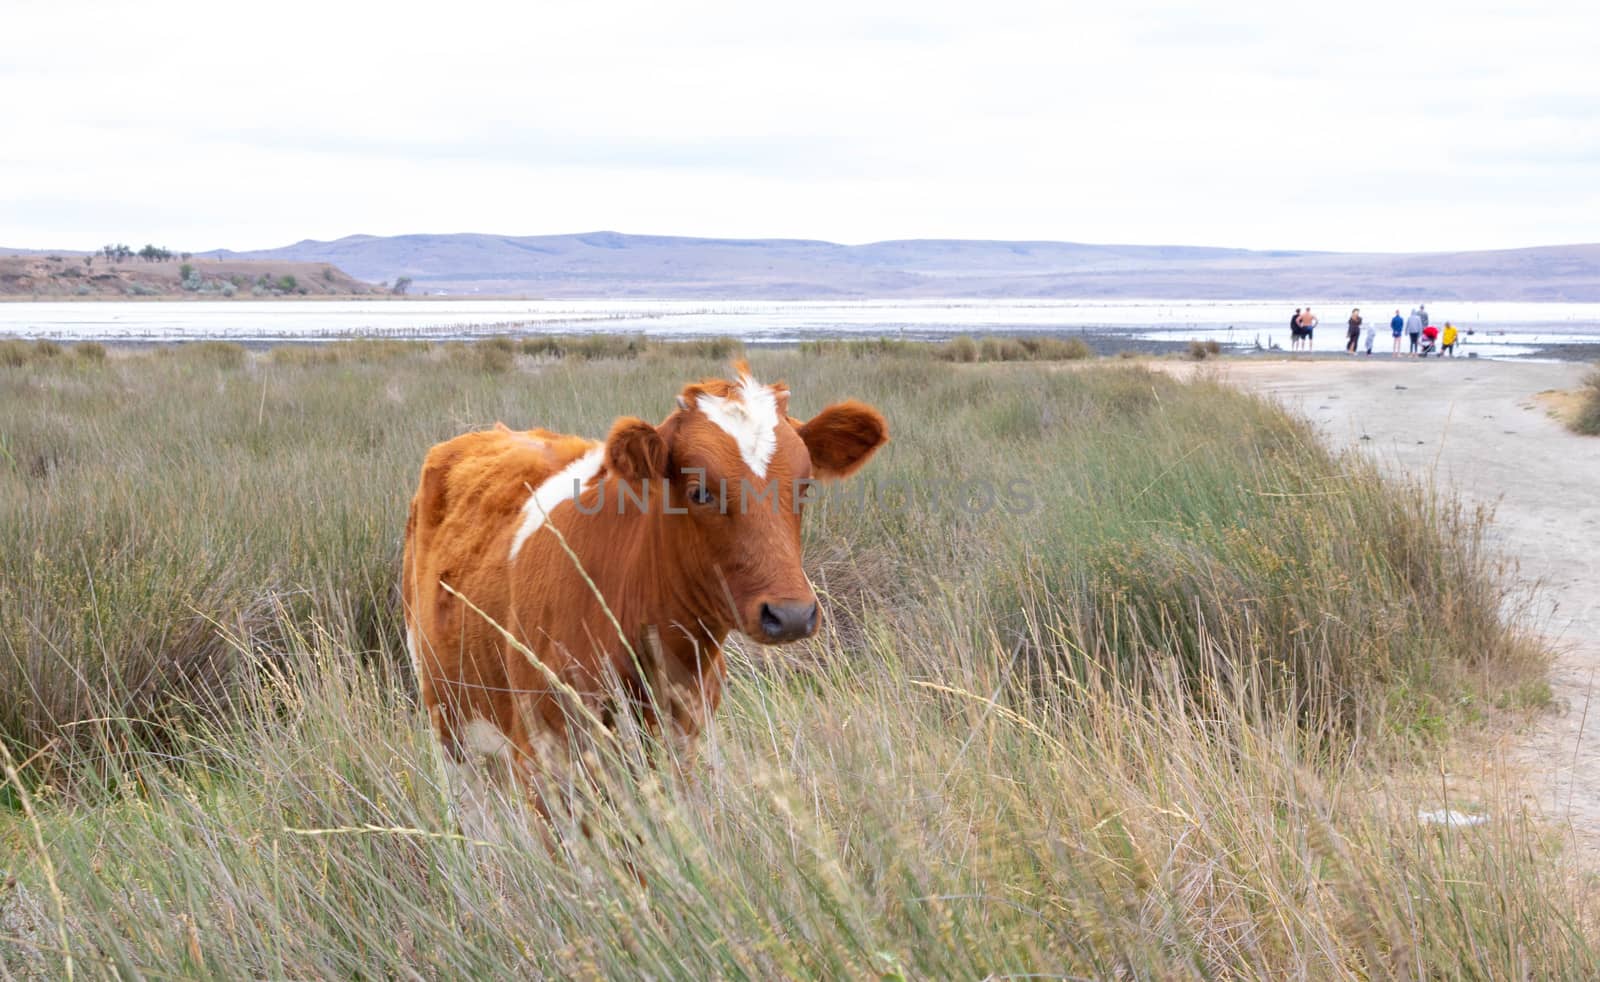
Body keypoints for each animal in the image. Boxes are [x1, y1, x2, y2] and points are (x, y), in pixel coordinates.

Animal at [400, 369, 889, 793]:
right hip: (447, 723)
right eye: (699, 491)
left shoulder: (684, 744)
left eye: (804, 488)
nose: (790, 615)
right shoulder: (544, 760)